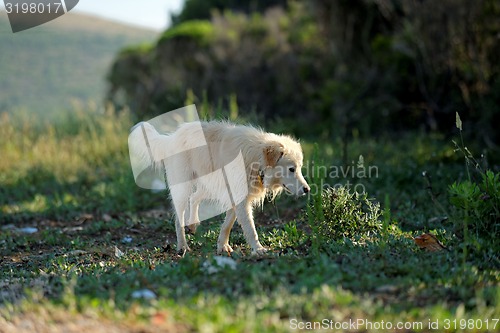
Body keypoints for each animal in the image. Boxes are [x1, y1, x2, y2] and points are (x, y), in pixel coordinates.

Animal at [133, 120, 308, 253]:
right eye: (291, 169)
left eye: (299, 168)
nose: (307, 190)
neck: (257, 159)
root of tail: (172, 138)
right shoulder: (239, 198)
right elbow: (250, 229)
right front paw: (258, 249)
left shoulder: (237, 196)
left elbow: (227, 224)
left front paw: (222, 246)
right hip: (184, 187)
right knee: (178, 217)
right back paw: (182, 246)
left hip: (210, 186)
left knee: (194, 198)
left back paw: (193, 224)